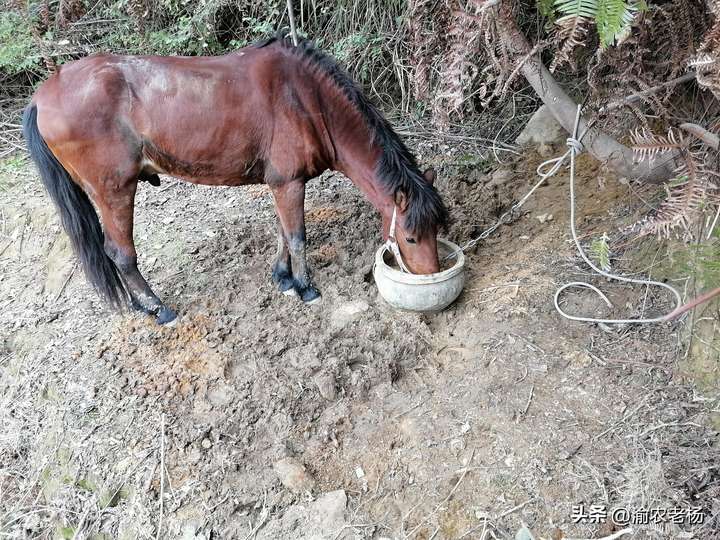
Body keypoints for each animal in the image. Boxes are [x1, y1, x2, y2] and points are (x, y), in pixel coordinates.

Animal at [22, 35, 448, 322]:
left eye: (437, 228)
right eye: (410, 237)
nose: (430, 277)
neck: (307, 98)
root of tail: (43, 94)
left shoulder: (282, 183)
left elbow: (282, 232)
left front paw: (283, 277)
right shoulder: (289, 182)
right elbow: (297, 236)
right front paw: (306, 287)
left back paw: (141, 306)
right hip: (113, 191)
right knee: (121, 255)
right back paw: (159, 309)